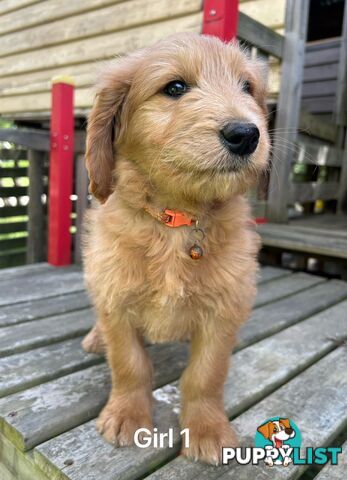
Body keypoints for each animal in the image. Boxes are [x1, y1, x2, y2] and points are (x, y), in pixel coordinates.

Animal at [83, 32, 270, 464]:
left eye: (247, 87)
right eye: (175, 88)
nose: (246, 134)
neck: (176, 221)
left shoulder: (224, 311)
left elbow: (205, 375)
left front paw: (207, 430)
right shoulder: (115, 299)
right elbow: (130, 364)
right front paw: (127, 416)